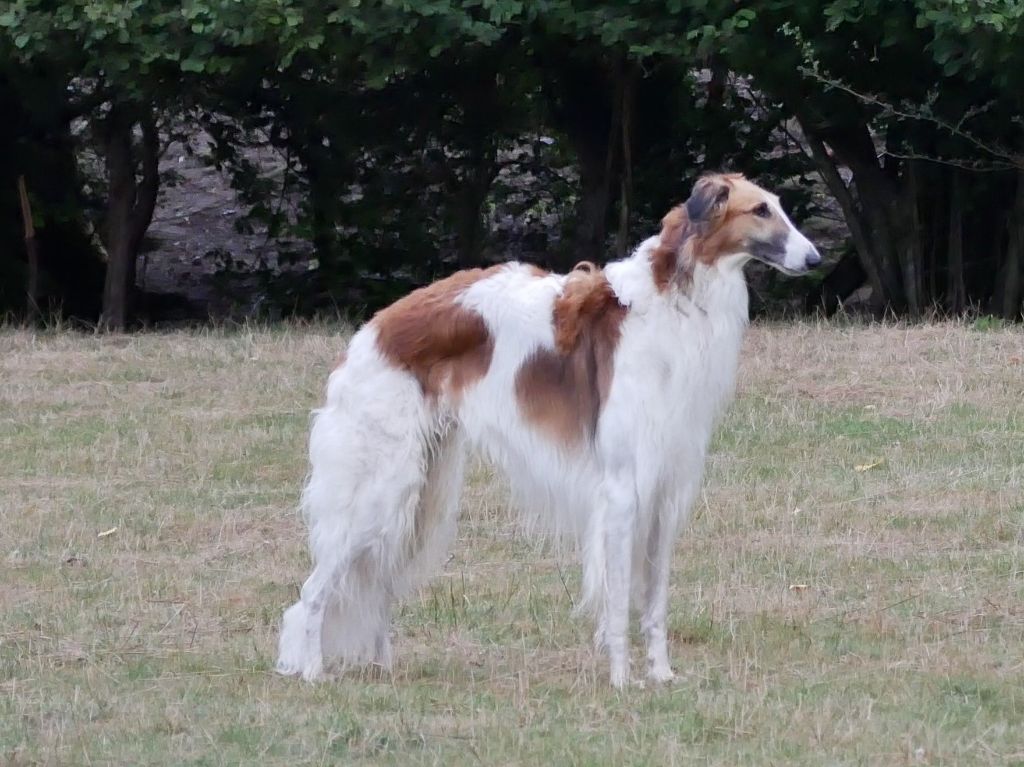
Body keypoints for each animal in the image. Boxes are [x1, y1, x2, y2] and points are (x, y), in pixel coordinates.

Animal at [276, 175, 819, 688]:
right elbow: (619, 601)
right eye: (761, 209)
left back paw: (382, 668)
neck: (676, 300)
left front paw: (661, 674)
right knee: (312, 591)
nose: (815, 258)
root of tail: (370, 333)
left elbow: (655, 601)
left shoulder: (667, 490)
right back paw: (312, 671)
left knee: (377, 587)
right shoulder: (622, 489)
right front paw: (622, 680)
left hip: (421, 491)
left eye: (778, 206)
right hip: (380, 489)